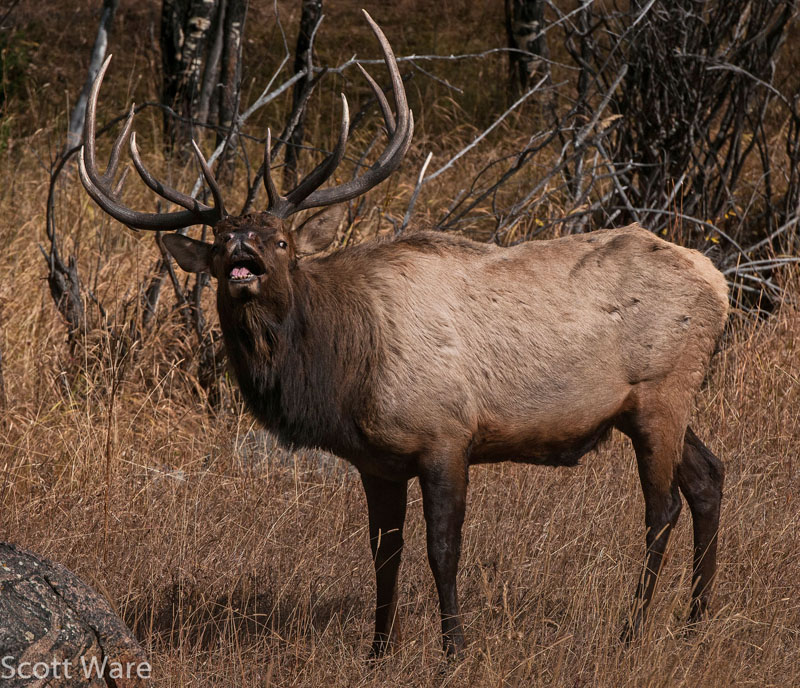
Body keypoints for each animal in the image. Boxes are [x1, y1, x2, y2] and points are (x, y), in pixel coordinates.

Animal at [78, 10, 728, 658]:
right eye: (215, 251)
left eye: (281, 241)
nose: (242, 247)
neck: (343, 375)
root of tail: (719, 282)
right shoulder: (378, 461)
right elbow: (382, 554)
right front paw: (377, 651)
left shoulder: (447, 435)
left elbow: (442, 550)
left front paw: (454, 650)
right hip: (655, 403)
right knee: (709, 476)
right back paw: (694, 620)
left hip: (659, 392)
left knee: (662, 506)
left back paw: (633, 628)